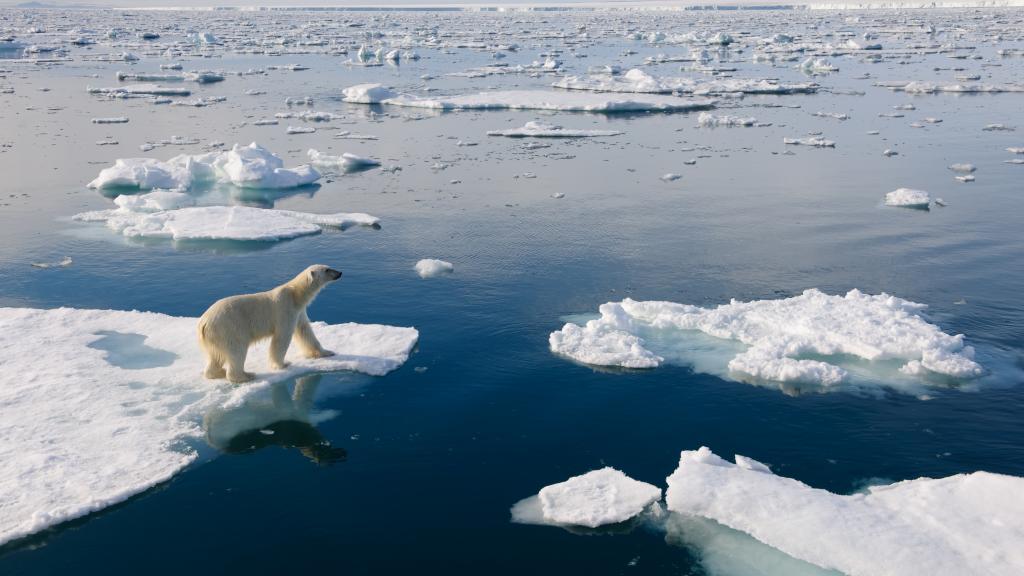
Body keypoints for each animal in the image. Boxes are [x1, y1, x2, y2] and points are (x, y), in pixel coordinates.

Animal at [198, 264, 342, 383]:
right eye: (327, 270)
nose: (340, 272)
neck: (295, 294)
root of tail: (203, 323)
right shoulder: (285, 309)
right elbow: (282, 338)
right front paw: (283, 364)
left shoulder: (299, 311)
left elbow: (305, 331)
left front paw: (327, 352)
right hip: (228, 328)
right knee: (237, 350)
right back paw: (246, 375)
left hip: (214, 336)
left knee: (215, 355)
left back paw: (218, 372)